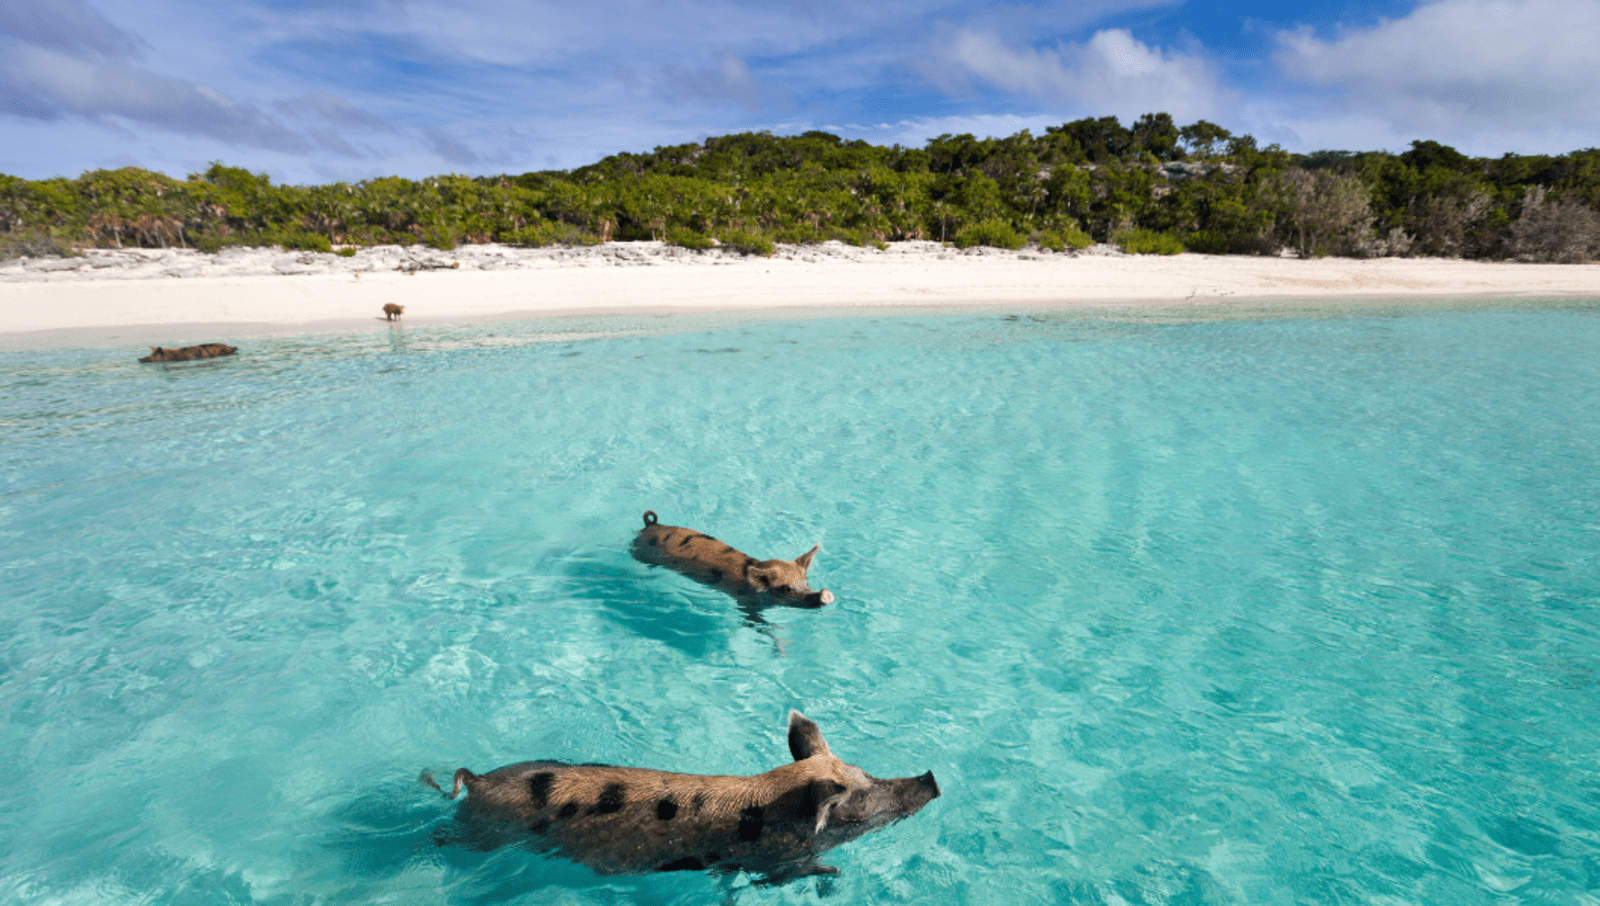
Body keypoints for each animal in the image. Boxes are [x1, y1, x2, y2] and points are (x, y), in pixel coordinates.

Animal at [424, 710, 939, 884]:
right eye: (861, 798)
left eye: (866, 772)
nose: (932, 778)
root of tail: (476, 780)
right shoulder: (774, 860)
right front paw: (834, 875)